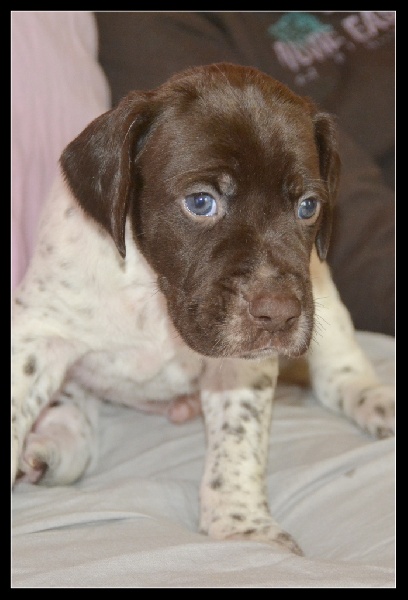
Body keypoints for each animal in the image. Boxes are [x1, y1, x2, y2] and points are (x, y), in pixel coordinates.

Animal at [12, 63, 395, 556]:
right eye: (200, 202)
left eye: (308, 206)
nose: (279, 314)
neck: (152, 290)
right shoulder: (39, 332)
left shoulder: (242, 363)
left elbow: (237, 444)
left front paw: (241, 525)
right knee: (73, 415)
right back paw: (51, 449)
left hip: (322, 289)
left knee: (338, 374)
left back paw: (375, 399)